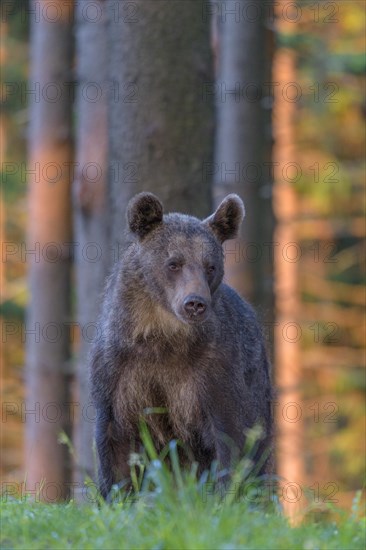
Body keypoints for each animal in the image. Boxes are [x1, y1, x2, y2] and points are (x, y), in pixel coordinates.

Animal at [89, 193, 272, 500]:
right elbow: (116, 444)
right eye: (174, 263)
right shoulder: (119, 372)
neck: (162, 339)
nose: (195, 303)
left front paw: (225, 497)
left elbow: (230, 438)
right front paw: (116, 495)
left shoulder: (215, 373)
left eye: (210, 265)